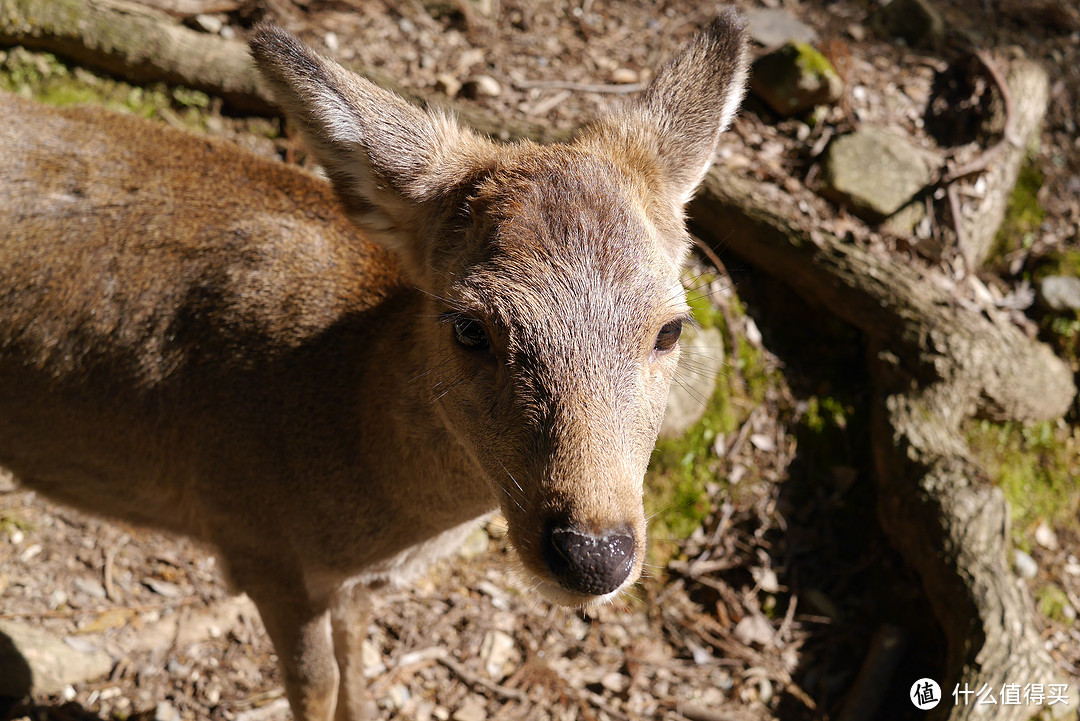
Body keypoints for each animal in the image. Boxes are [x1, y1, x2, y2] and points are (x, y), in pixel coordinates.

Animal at [0, 12, 747, 721]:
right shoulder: (256, 542)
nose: (593, 553)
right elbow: (316, 686)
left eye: (671, 328)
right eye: (469, 326)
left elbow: (356, 666)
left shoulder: (345, 582)